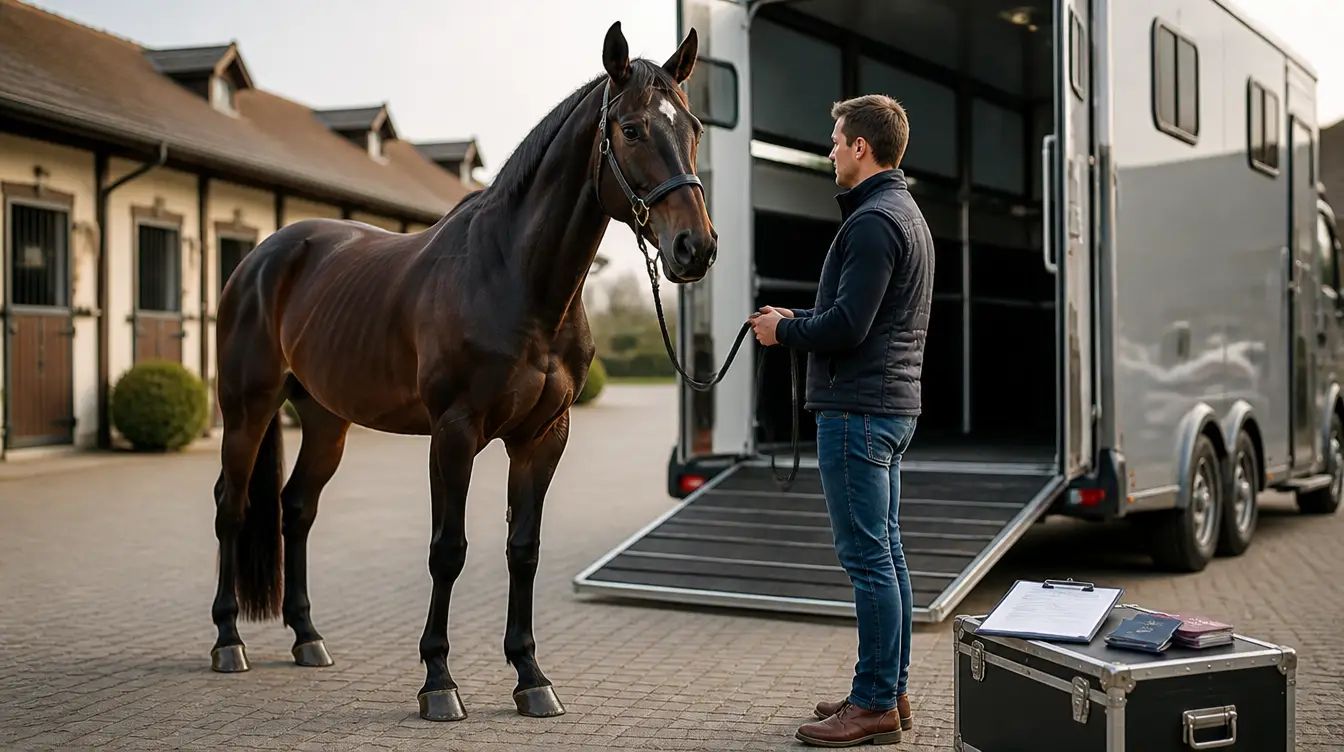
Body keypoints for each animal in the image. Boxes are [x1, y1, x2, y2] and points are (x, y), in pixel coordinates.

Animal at [209, 21, 715, 722]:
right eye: (634, 128)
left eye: (692, 127)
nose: (696, 248)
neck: (513, 278)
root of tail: (262, 257)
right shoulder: (453, 433)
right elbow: (448, 551)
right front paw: (438, 682)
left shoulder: (542, 438)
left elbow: (523, 550)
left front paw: (531, 677)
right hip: (247, 407)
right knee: (231, 506)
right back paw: (228, 641)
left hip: (326, 420)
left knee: (297, 508)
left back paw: (308, 638)